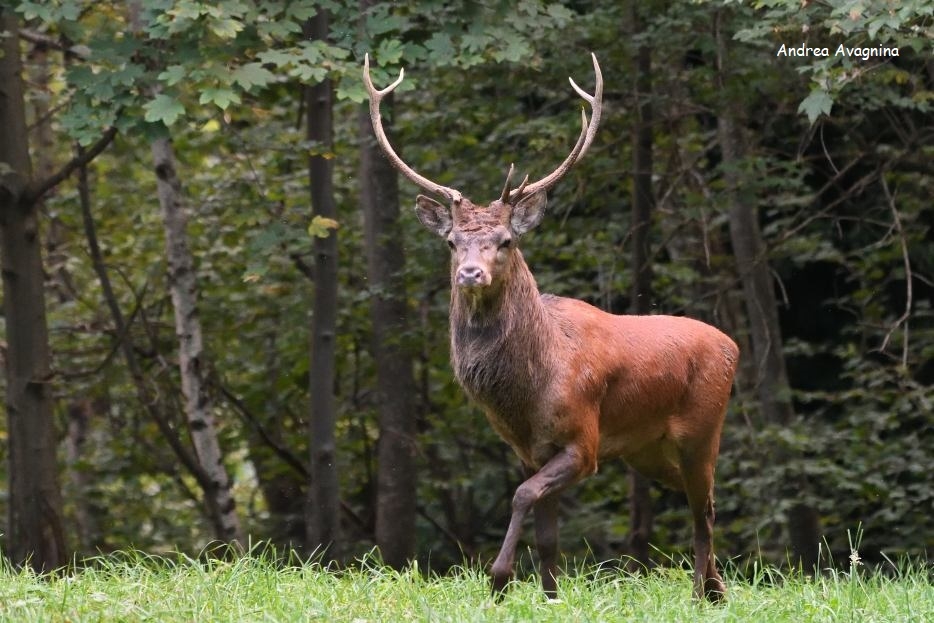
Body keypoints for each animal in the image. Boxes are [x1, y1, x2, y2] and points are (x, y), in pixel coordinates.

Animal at [363, 53, 739, 603]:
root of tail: (733, 345)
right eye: (453, 242)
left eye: (505, 241)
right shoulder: (529, 451)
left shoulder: (583, 441)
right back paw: (715, 588)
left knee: (703, 508)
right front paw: (549, 594)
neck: (527, 394)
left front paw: (498, 579)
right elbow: (547, 537)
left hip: (702, 428)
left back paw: (701, 593)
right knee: (703, 503)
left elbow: (521, 497)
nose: (470, 273)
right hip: (646, 451)